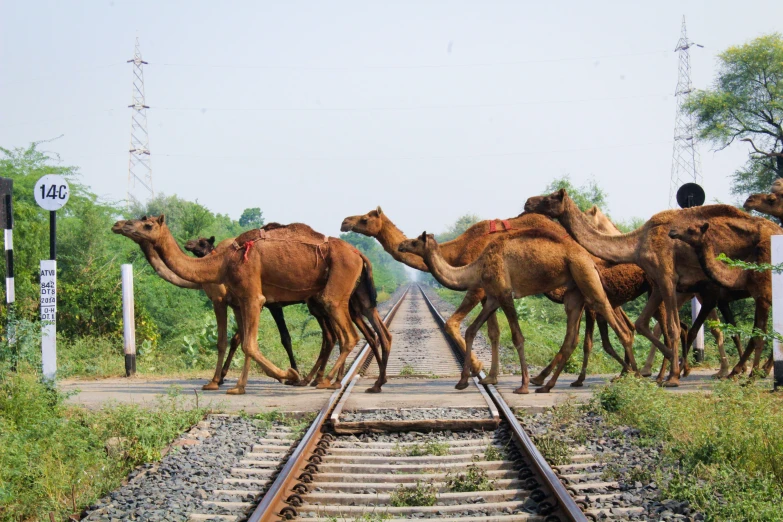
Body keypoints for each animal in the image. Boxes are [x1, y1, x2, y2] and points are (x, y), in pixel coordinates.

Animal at [114, 213, 370, 392]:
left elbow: (245, 343)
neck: (221, 263)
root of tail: (359, 254)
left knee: (348, 335)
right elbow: (243, 341)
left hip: (334, 287)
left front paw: (287, 375)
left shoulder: (247, 298)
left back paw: (323, 381)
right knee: (341, 336)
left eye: (147, 224)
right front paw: (237, 385)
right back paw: (324, 379)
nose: (118, 225)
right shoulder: (241, 300)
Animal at [398, 222, 636, 390]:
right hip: (574, 292)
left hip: (586, 276)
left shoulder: (504, 293)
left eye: (416, 241)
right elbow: (472, 330)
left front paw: (522, 385)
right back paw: (548, 384)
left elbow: (517, 337)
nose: (401, 245)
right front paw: (469, 380)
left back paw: (634, 375)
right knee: (573, 336)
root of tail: (591, 260)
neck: (477, 266)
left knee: (619, 325)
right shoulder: (492, 298)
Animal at [668, 219, 776, 374]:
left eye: (691, 229)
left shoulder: (712, 299)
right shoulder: (723, 301)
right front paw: (738, 370)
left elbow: (694, 331)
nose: (672, 231)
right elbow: (735, 332)